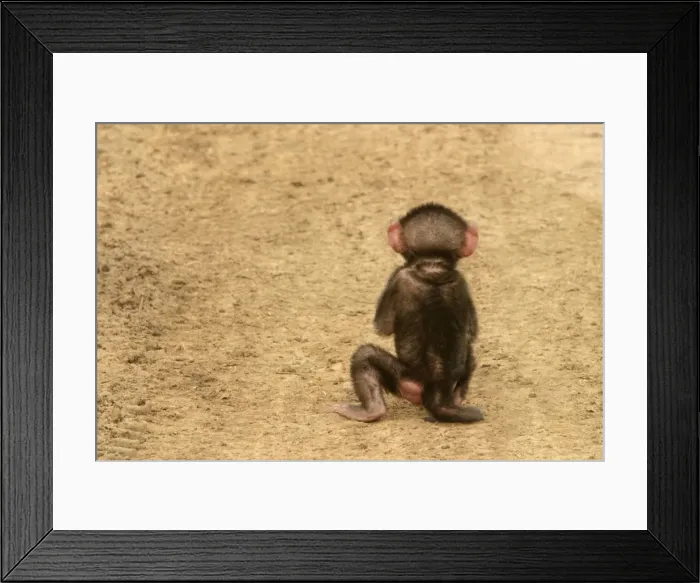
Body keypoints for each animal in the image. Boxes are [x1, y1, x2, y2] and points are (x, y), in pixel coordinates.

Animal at [332, 202, 484, 424]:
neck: (433, 267)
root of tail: (439, 393)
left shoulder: (398, 277)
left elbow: (383, 326)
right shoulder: (461, 281)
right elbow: (471, 332)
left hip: (407, 381)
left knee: (364, 357)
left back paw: (369, 411)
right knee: (470, 355)